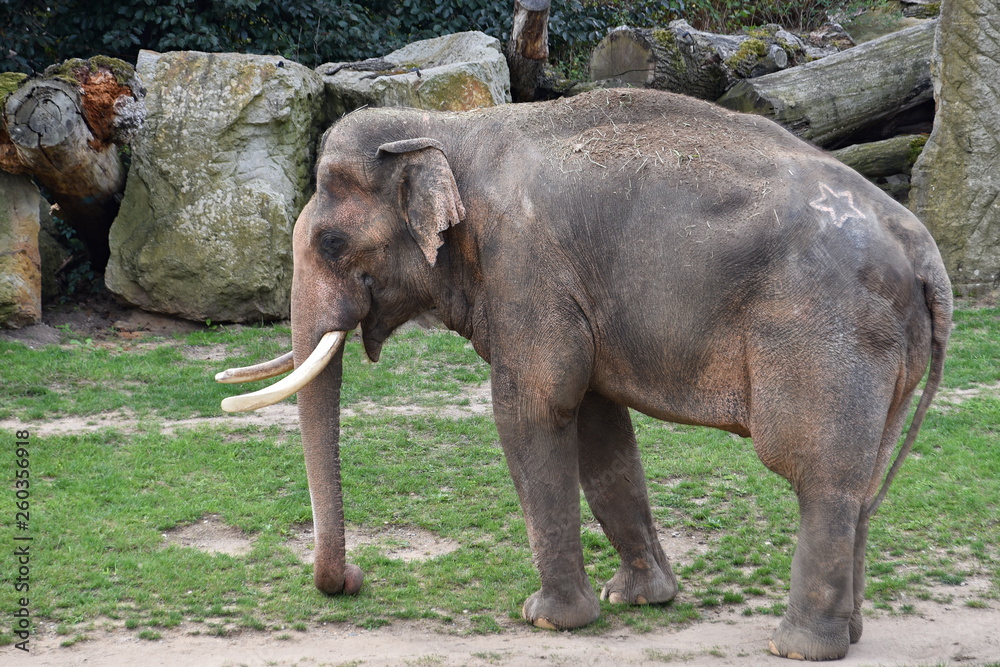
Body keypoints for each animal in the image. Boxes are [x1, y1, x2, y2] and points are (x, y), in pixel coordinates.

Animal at [217, 89, 952, 661]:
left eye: (330, 243)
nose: (355, 579)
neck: (446, 127)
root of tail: (924, 250)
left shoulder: (526, 270)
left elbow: (533, 410)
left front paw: (547, 618)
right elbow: (602, 429)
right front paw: (640, 599)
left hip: (826, 333)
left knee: (816, 473)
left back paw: (796, 646)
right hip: (884, 352)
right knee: (859, 483)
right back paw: (848, 635)